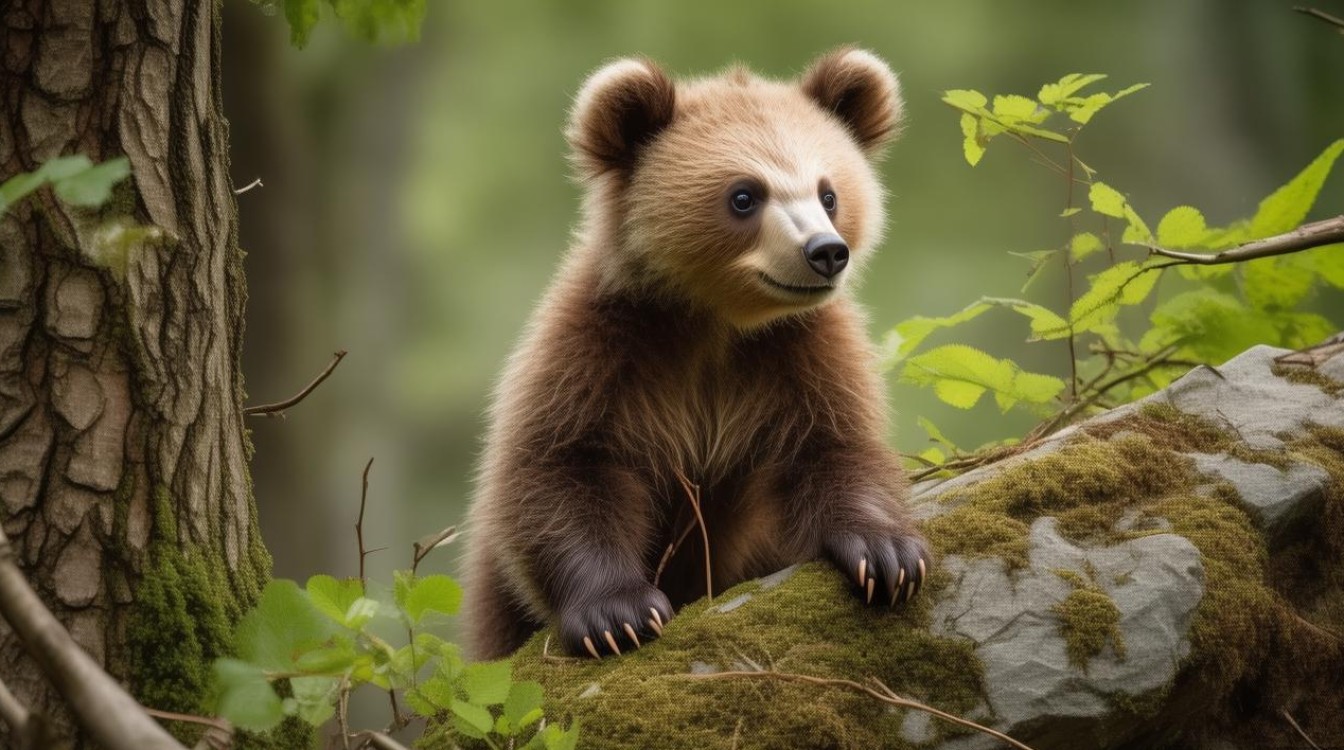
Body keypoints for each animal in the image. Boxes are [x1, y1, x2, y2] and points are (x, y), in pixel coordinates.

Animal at [463, 47, 930, 660]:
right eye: (744, 194)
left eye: (828, 192)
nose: (826, 252)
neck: (716, 324)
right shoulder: (598, 352)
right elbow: (560, 466)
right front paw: (618, 614)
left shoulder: (800, 353)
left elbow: (835, 447)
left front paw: (887, 556)